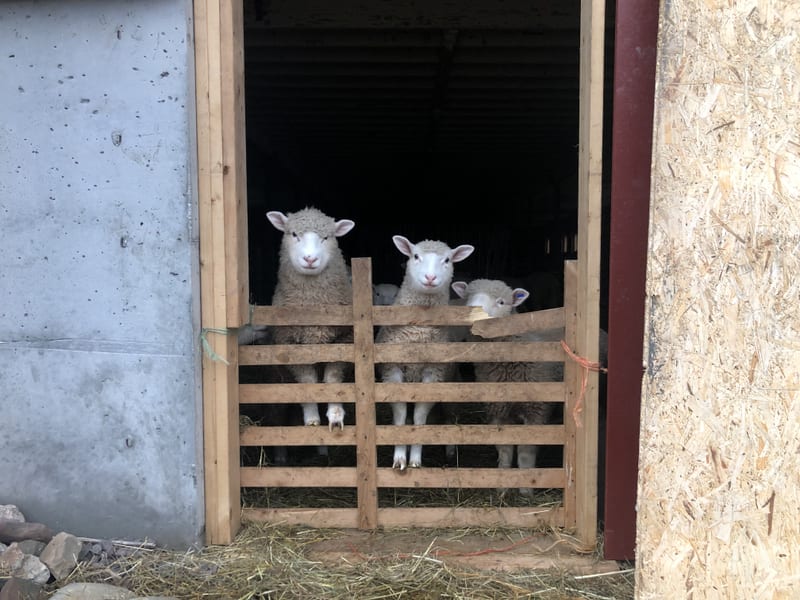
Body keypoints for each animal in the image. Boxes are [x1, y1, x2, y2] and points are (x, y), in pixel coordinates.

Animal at [267, 207, 355, 431]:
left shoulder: (343, 341)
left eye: (326, 237)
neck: (314, 306)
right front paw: (312, 419)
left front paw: (335, 415)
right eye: (294, 234)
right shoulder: (292, 346)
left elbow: (333, 379)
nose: (309, 259)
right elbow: (308, 381)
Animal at [376, 235, 475, 470]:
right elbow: (401, 415)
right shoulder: (393, 371)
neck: (418, 333)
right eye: (415, 256)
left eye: (447, 260)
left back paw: (450, 454)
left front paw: (414, 459)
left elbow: (420, 417)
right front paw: (399, 457)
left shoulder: (433, 374)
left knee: (450, 418)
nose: (430, 277)